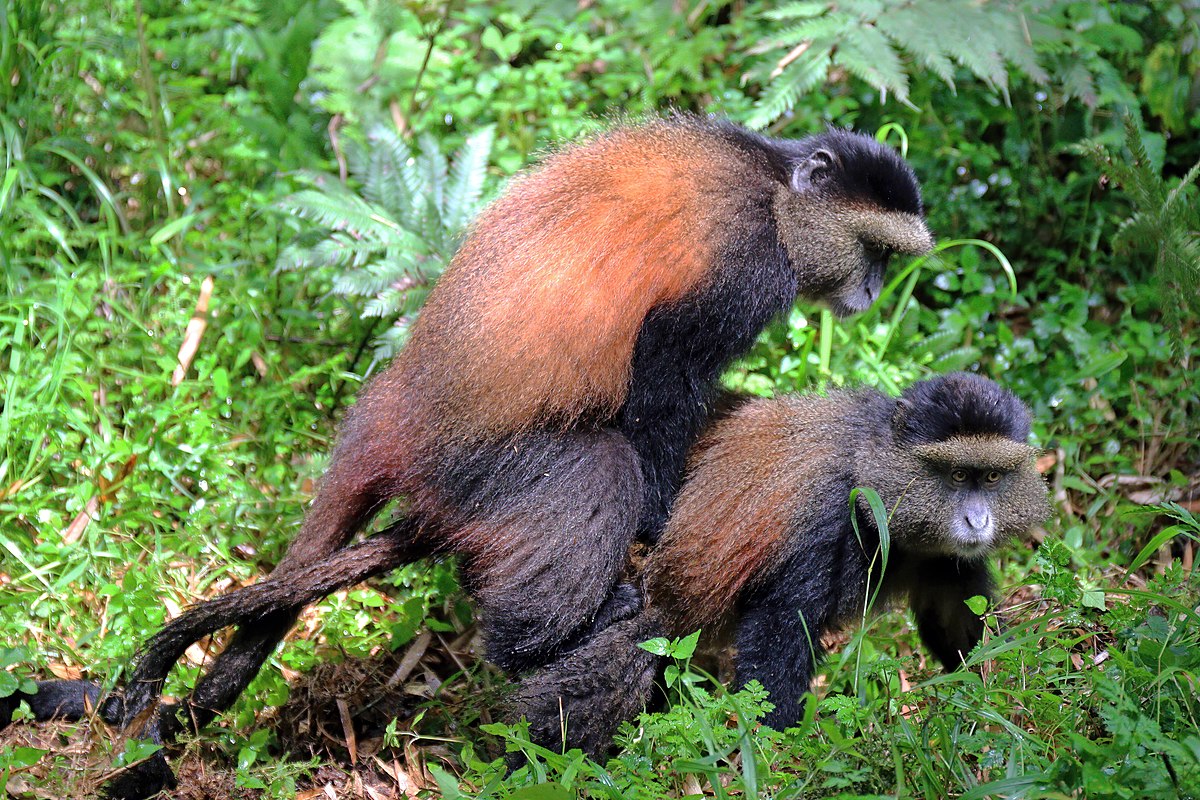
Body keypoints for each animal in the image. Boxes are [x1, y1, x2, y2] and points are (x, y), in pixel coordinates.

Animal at [2, 115, 932, 798]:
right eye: (874, 252)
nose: (871, 294)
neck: (772, 182)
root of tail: (402, 411)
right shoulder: (743, 271)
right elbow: (662, 373)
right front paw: (667, 519)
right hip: (487, 470)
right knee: (597, 468)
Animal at [514, 372, 1052, 758]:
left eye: (991, 477)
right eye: (957, 474)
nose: (977, 520)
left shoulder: (949, 561)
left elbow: (961, 625)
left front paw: (1004, 700)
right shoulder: (827, 522)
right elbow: (780, 633)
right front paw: (781, 752)